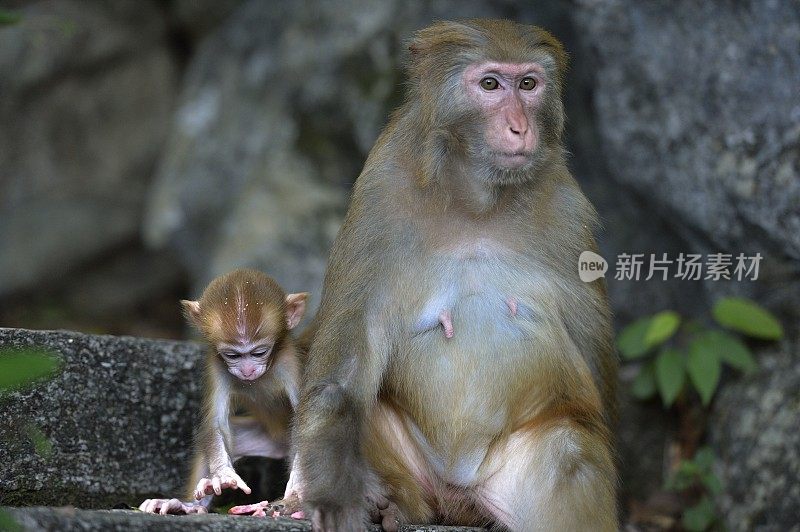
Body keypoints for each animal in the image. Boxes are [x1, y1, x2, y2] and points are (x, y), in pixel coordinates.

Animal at [141, 270, 310, 516]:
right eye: (232, 355)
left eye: (260, 352)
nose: (248, 371)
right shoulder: (215, 365)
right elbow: (215, 424)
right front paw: (221, 475)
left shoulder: (292, 363)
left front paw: (297, 491)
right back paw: (188, 505)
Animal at [296, 18, 616, 528]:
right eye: (490, 85)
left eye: (529, 84)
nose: (519, 127)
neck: (474, 202)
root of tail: (456, 495)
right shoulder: (380, 197)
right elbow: (339, 382)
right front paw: (331, 494)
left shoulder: (569, 214)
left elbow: (593, 376)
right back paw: (390, 505)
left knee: (568, 453)